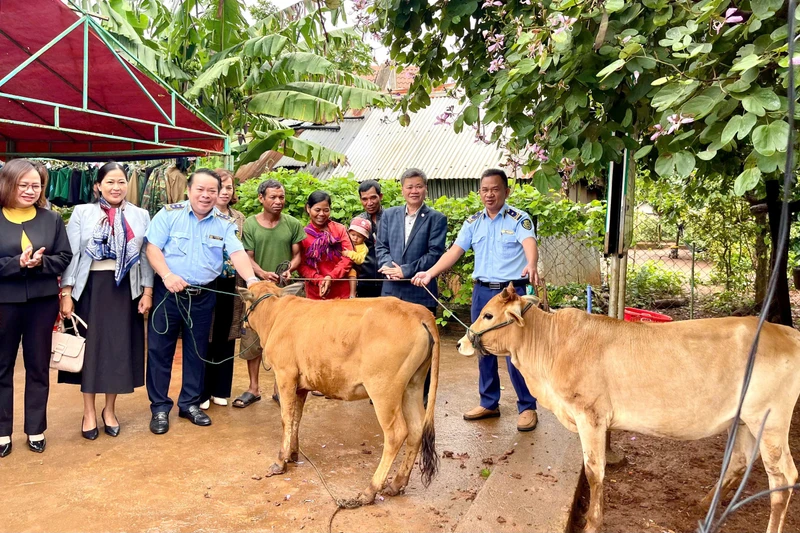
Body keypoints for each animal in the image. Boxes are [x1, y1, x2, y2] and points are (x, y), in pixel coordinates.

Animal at [239, 280, 438, 504]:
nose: (243, 325)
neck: (275, 314)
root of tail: (419, 312)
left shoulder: (285, 374)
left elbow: (286, 418)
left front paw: (281, 461)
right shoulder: (301, 385)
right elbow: (297, 418)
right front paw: (293, 454)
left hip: (383, 390)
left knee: (396, 434)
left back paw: (370, 490)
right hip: (412, 385)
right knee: (416, 429)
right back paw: (396, 483)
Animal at [456, 284, 800, 532]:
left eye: (489, 315)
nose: (462, 342)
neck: (550, 344)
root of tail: (787, 332)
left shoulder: (590, 416)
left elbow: (594, 471)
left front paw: (592, 522)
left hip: (770, 423)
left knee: (783, 478)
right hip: (743, 421)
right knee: (738, 462)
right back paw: (704, 506)